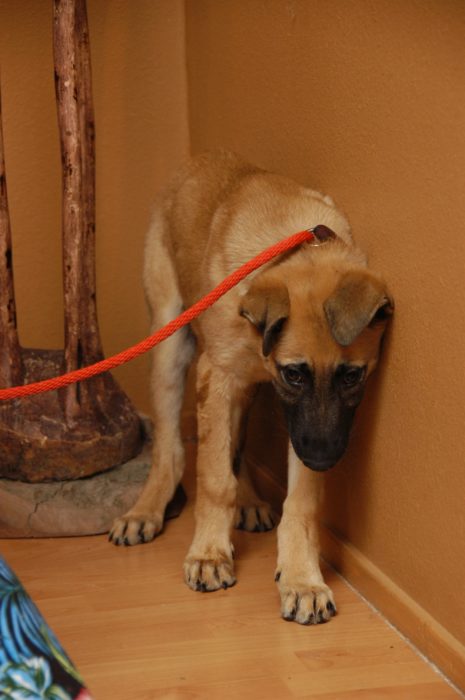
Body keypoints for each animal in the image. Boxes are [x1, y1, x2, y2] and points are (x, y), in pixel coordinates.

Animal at [109, 152, 392, 624]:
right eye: (295, 374)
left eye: (352, 376)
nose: (323, 459)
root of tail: (195, 162)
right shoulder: (220, 376)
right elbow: (213, 475)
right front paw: (209, 554)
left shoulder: (293, 418)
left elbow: (299, 500)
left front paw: (301, 578)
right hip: (171, 344)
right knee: (171, 447)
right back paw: (147, 508)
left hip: (244, 389)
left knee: (235, 446)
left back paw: (247, 499)